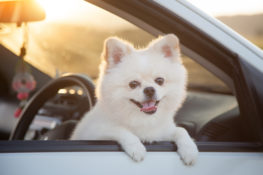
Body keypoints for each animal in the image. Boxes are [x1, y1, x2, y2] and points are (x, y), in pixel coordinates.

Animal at [71, 33, 199, 165]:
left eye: (159, 80)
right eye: (133, 84)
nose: (149, 89)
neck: (142, 119)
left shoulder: (163, 131)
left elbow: (181, 130)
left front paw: (190, 149)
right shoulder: (95, 133)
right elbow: (120, 130)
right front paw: (137, 148)